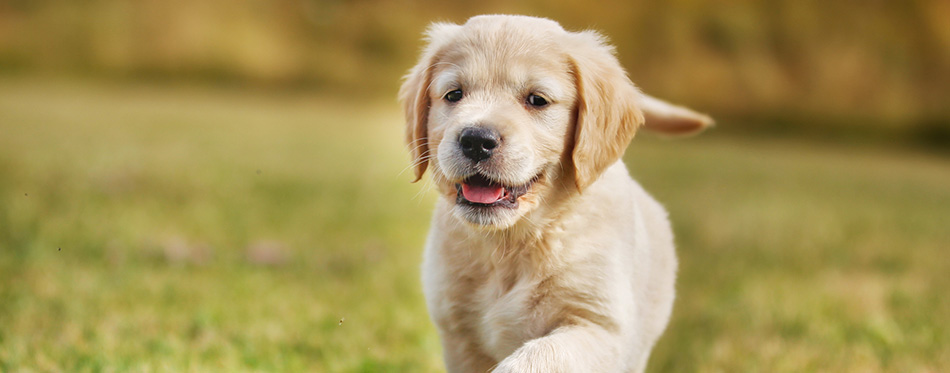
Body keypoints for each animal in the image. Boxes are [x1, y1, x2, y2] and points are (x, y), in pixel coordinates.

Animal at [402, 15, 712, 372]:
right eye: (454, 94)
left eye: (537, 100)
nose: (476, 140)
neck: (512, 243)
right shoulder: (458, 336)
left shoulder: (602, 327)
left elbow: (542, 354)